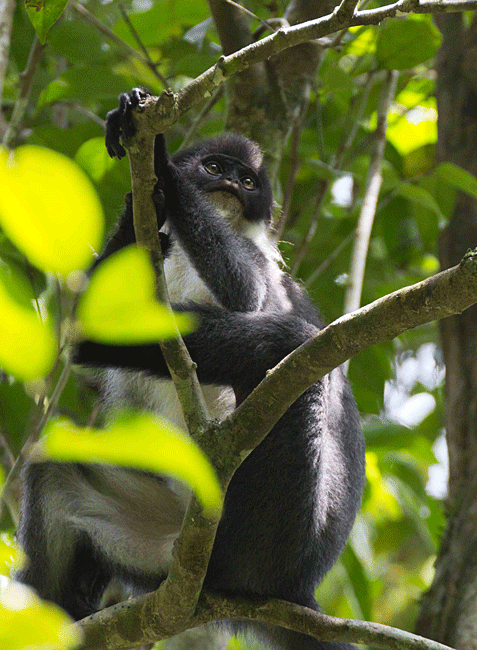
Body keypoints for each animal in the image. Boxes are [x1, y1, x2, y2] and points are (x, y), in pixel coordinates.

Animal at [15, 87, 364, 648]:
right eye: (215, 167)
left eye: (248, 182)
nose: (230, 185)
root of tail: (297, 590)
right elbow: (99, 325)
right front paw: (144, 192)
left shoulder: (264, 266)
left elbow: (249, 296)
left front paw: (158, 163)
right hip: (163, 541)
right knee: (53, 466)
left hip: (277, 534)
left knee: (291, 344)